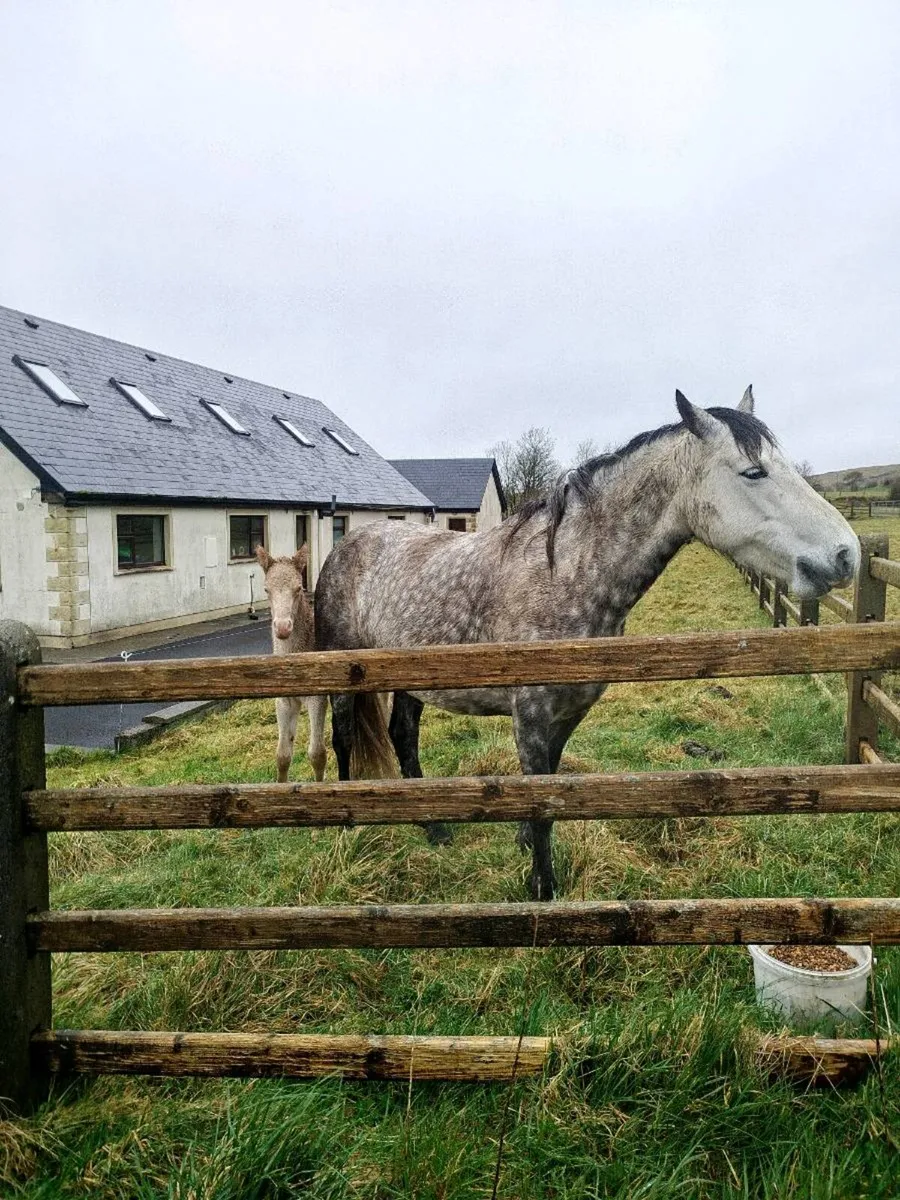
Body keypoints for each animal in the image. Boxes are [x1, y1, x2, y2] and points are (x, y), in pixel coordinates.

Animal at [256, 545, 328, 783]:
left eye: (298, 589)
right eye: (266, 590)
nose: (282, 628)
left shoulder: (318, 698)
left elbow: (317, 754)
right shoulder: (284, 700)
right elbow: (283, 755)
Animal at [314, 389, 859, 900]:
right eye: (753, 472)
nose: (846, 555)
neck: (566, 574)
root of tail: (346, 545)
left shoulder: (569, 713)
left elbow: (553, 789)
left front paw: (528, 853)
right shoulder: (530, 715)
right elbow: (539, 799)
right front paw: (542, 889)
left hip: (411, 677)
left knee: (403, 737)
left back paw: (434, 828)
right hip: (343, 672)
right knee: (344, 736)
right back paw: (346, 826)